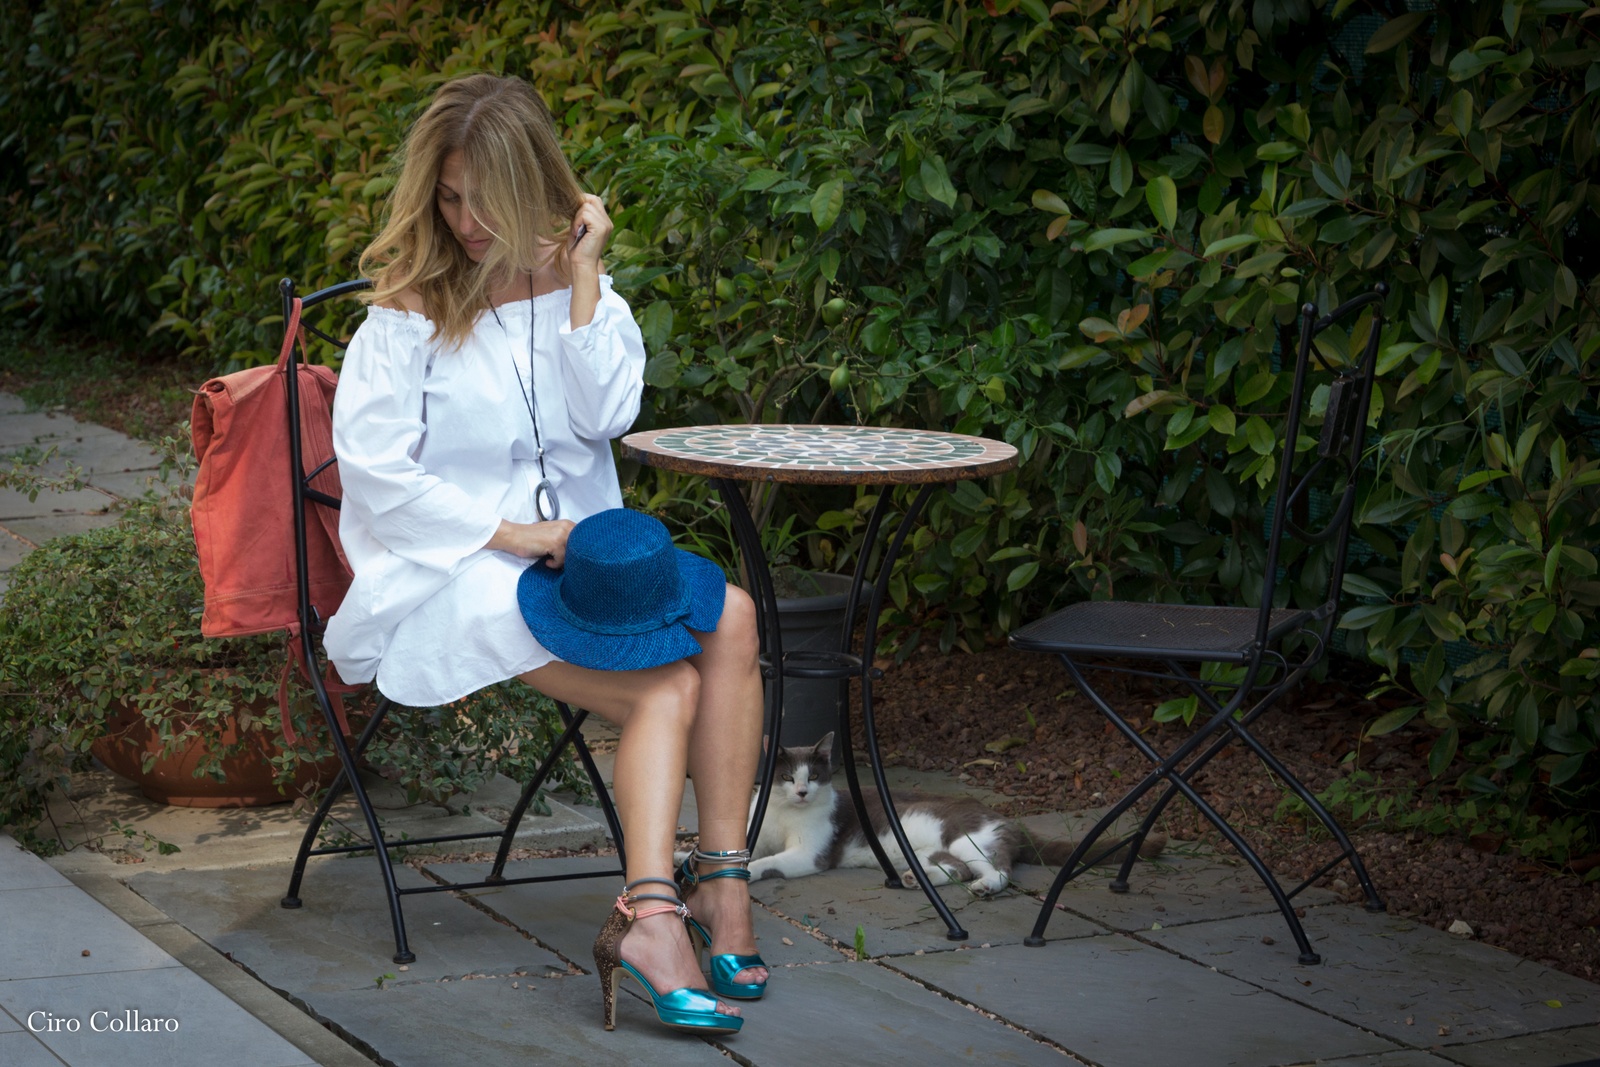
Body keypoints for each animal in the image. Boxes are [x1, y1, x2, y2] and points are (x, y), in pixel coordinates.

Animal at [741, 733, 1165, 896]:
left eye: (813, 776)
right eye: (786, 777)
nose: (801, 792)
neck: (783, 813)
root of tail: (1009, 821)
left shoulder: (810, 852)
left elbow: (770, 861)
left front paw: (751, 872)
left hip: (968, 837)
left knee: (998, 870)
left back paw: (984, 887)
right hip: (931, 849)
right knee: (955, 868)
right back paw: (916, 878)